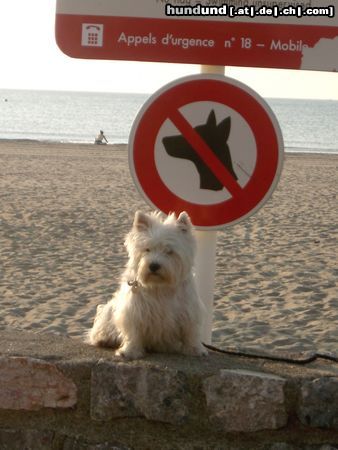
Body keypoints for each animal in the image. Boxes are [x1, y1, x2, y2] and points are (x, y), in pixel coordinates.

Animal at [86, 209, 206, 360]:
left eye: (169, 251)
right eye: (147, 249)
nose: (154, 266)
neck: (159, 286)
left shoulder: (188, 311)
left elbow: (191, 332)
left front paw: (195, 349)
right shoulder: (134, 311)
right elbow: (133, 333)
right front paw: (130, 351)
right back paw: (103, 339)